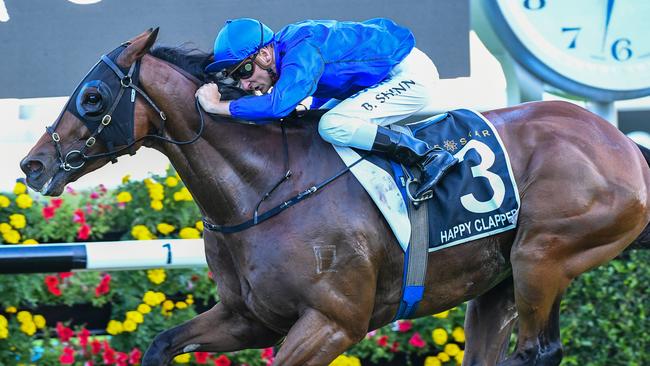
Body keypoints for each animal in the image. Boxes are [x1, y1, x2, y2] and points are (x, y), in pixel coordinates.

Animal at [20, 29, 648, 366]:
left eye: (93, 96)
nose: (33, 164)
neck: (260, 191)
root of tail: (623, 143)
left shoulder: (332, 322)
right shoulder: (250, 317)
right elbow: (160, 343)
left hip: (544, 255)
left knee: (538, 348)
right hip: (498, 283)